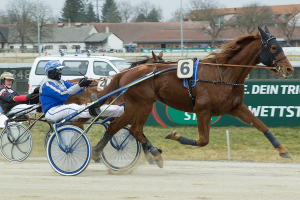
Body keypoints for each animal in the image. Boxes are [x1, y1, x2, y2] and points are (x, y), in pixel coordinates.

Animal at [91, 26, 292, 165]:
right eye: (274, 48)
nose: (289, 69)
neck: (224, 75)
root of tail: (126, 73)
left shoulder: (235, 107)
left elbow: (262, 125)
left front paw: (283, 150)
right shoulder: (203, 111)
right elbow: (203, 141)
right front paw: (173, 135)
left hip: (133, 106)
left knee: (116, 125)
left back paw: (96, 152)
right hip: (144, 104)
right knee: (135, 130)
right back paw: (155, 154)